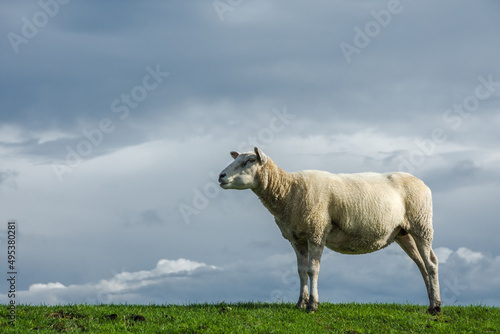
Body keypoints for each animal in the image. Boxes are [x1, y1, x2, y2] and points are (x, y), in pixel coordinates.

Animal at [219, 146, 442, 314]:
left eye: (249, 161)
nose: (221, 176)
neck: (288, 190)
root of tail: (422, 183)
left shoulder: (317, 232)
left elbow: (312, 270)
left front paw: (312, 305)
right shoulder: (297, 238)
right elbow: (301, 271)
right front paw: (300, 303)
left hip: (421, 225)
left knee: (431, 263)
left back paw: (436, 308)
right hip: (403, 233)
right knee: (422, 265)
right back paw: (432, 303)